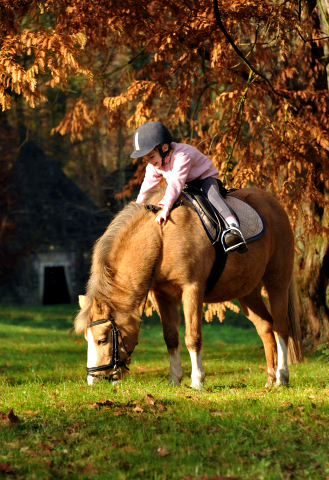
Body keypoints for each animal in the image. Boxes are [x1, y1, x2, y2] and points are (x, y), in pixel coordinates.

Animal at [74, 188, 302, 390]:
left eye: (102, 340)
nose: (93, 381)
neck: (162, 236)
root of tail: (273, 204)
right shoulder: (162, 296)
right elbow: (171, 337)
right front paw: (175, 379)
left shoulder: (192, 290)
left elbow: (192, 338)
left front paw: (197, 381)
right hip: (248, 292)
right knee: (265, 328)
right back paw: (271, 379)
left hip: (277, 282)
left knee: (280, 327)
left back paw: (282, 376)